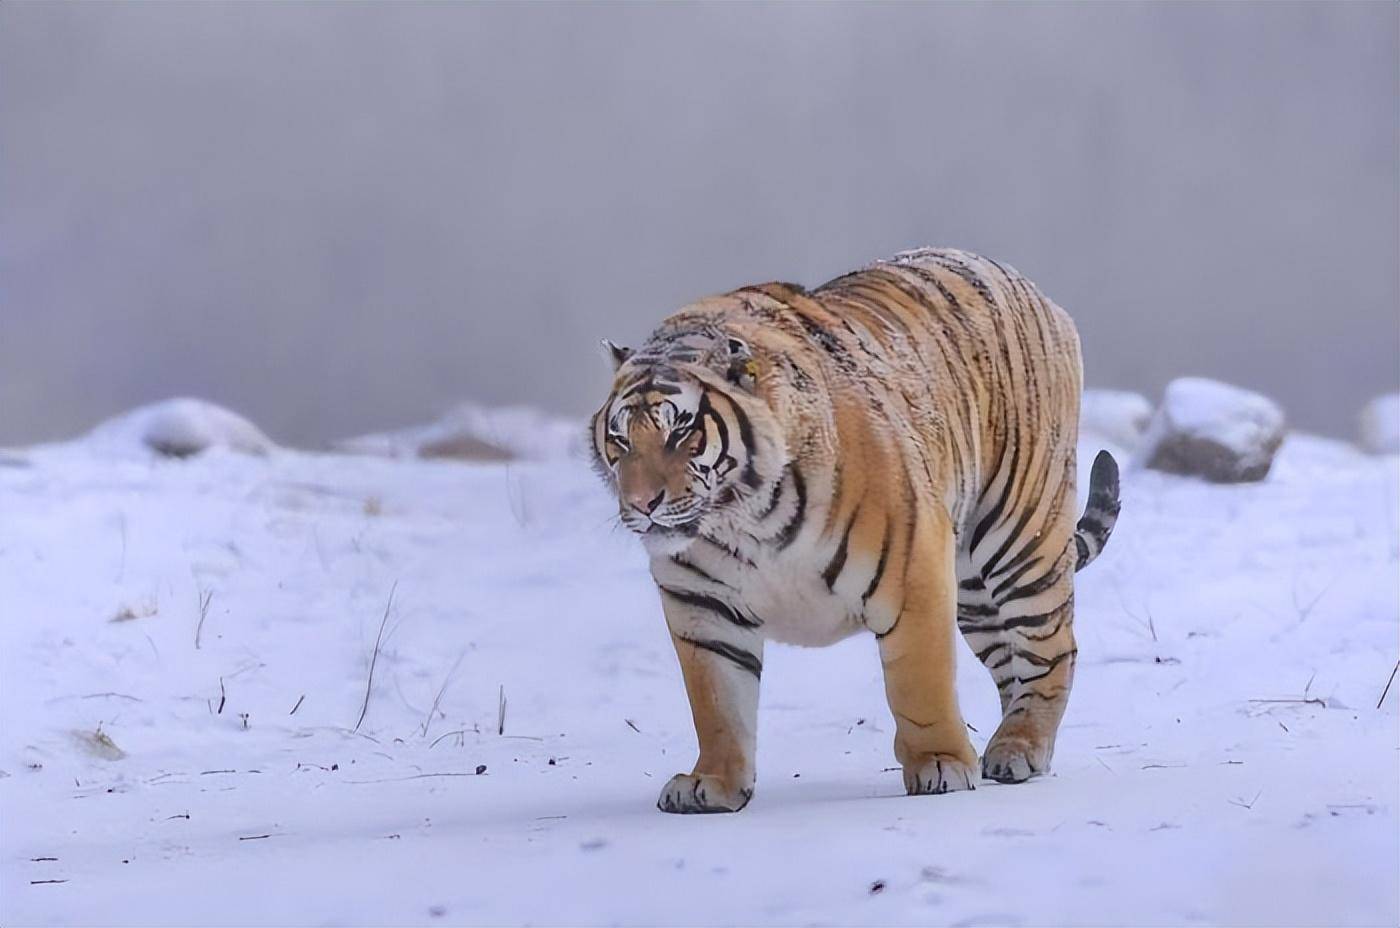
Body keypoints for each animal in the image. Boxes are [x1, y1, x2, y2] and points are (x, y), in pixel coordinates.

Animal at [585, 246, 1120, 811]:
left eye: (681, 431)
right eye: (620, 438)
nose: (641, 504)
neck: (745, 522)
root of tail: (1029, 286)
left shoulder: (914, 572)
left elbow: (918, 682)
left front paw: (941, 764)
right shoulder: (701, 605)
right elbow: (716, 704)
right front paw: (713, 782)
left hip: (1019, 539)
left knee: (1050, 650)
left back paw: (1020, 747)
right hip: (973, 586)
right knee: (1009, 660)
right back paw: (1003, 745)